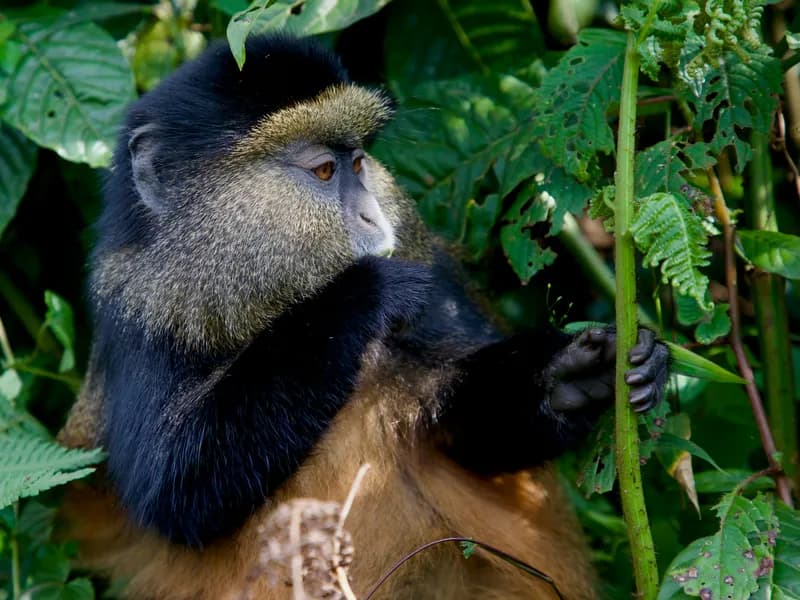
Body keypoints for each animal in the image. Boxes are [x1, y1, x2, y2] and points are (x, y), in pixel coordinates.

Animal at [57, 34, 669, 600]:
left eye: (357, 162)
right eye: (326, 171)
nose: (374, 215)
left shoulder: (434, 275)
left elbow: (472, 437)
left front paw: (575, 376)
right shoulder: (139, 314)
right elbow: (174, 494)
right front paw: (363, 292)